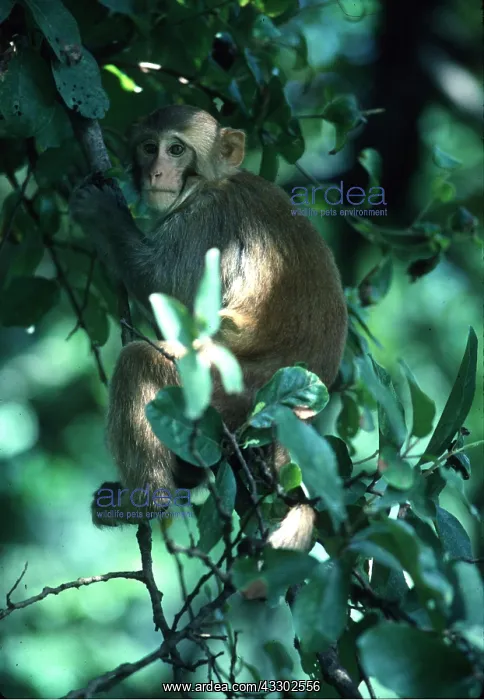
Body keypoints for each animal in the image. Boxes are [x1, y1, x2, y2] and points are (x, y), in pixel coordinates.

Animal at [70, 105, 347, 589]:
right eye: (149, 146)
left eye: (176, 149)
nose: (156, 170)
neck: (214, 180)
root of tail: (297, 413)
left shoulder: (203, 222)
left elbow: (166, 289)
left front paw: (104, 216)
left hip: (228, 394)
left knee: (140, 360)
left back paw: (147, 502)